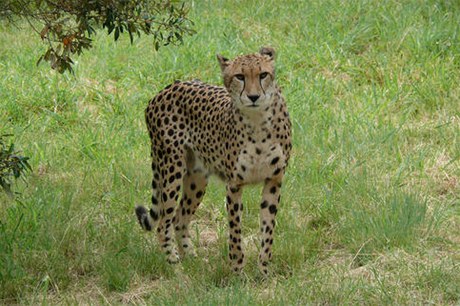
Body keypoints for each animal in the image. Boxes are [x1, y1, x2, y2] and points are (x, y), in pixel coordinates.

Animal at [136, 47, 292, 274]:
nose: (254, 96)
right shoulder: (234, 184)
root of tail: (167, 88)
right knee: (164, 222)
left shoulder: (274, 180)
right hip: (172, 168)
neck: (258, 121)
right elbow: (235, 232)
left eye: (263, 74)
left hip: (197, 177)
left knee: (179, 220)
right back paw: (175, 265)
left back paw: (193, 259)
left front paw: (264, 271)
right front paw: (237, 272)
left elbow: (268, 230)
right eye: (240, 76)